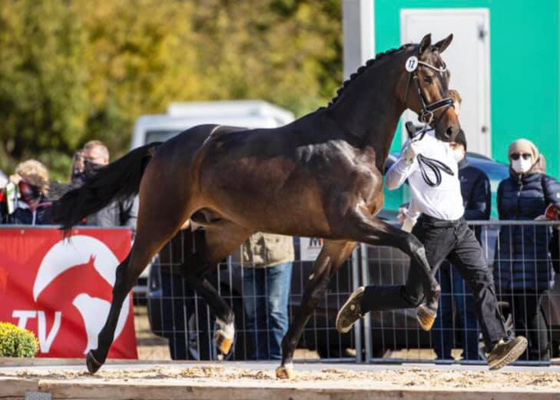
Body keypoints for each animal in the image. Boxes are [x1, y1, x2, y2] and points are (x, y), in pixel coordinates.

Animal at [49, 33, 460, 378]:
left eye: (447, 73)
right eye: (426, 77)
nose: (451, 130)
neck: (351, 141)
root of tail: (163, 147)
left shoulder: (341, 239)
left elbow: (313, 294)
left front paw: (287, 361)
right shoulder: (352, 223)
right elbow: (413, 243)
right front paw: (428, 307)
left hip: (227, 230)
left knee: (190, 270)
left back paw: (226, 330)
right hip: (161, 221)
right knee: (126, 274)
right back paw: (97, 355)